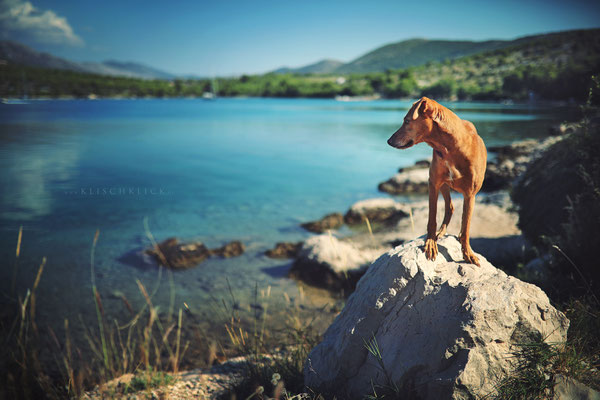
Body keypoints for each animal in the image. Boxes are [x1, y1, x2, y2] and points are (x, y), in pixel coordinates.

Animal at [390, 97, 488, 266]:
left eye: (407, 121)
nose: (389, 141)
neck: (451, 148)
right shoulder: (433, 183)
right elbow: (432, 218)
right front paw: (430, 243)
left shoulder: (470, 194)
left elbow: (466, 227)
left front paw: (468, 253)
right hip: (443, 185)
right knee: (450, 207)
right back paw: (441, 232)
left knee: (456, 214)